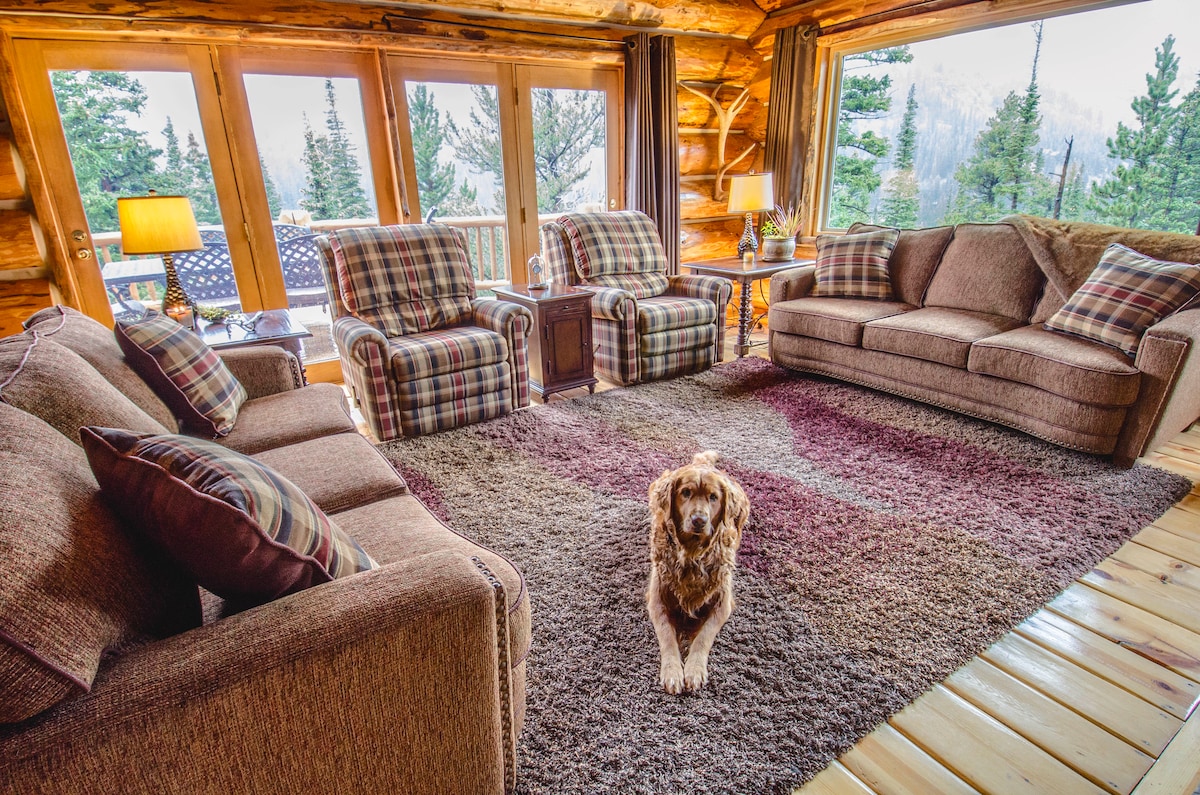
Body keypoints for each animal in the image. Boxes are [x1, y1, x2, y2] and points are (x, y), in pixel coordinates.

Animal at [646, 450, 750, 694]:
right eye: (685, 493)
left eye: (713, 497)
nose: (699, 520)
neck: (693, 553)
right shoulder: (657, 598)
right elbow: (667, 634)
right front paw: (673, 671)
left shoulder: (723, 602)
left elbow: (704, 635)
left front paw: (693, 670)